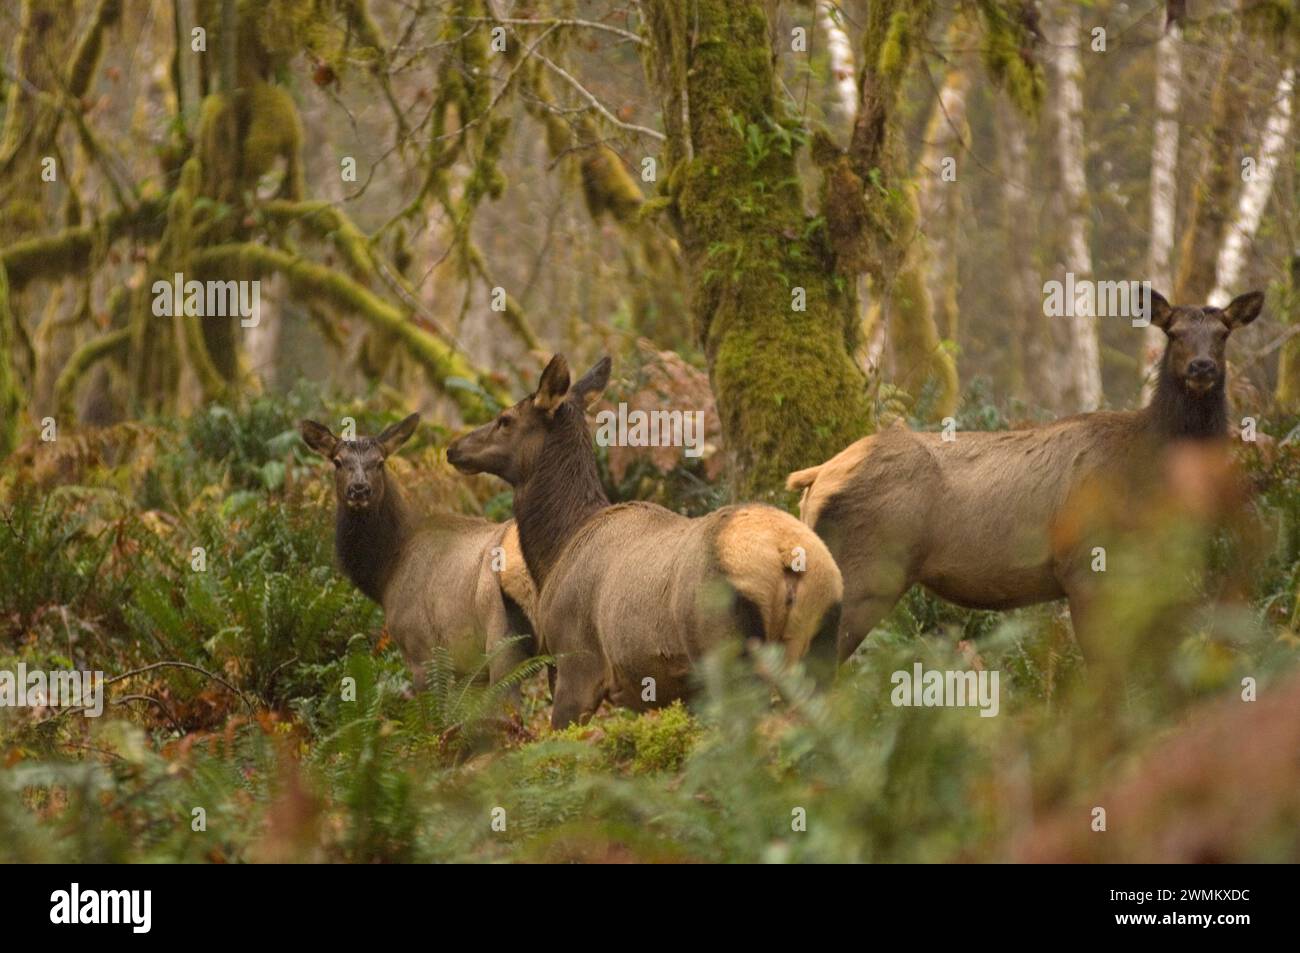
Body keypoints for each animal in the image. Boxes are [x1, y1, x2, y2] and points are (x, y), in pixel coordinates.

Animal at [299, 413, 536, 688]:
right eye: (337, 461)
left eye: (380, 462)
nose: (359, 489)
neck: (387, 572)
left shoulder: (419, 645)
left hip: (501, 638)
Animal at [445, 355, 844, 728]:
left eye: (505, 419)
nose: (453, 448)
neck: (556, 551)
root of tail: (786, 556)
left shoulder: (574, 663)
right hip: (821, 643)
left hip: (727, 645)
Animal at [786, 289, 1265, 665]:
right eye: (1174, 332)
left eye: (1223, 333)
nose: (1201, 367)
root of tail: (816, 477)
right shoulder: (1085, 565)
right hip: (864, 573)